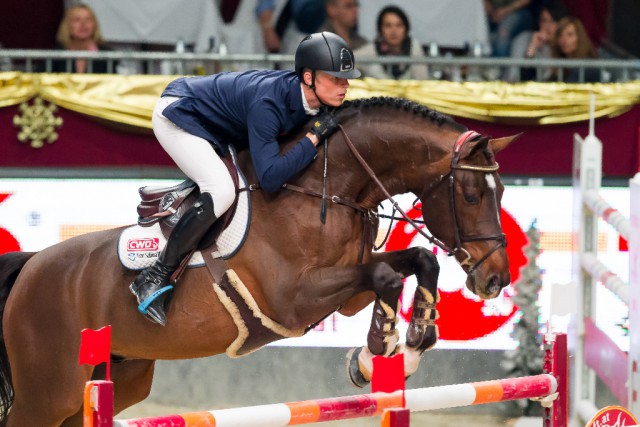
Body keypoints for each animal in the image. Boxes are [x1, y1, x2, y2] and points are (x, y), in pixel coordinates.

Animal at [0, 97, 516, 427]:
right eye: (472, 195)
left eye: (503, 193)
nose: (495, 280)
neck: (323, 186)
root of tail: (30, 267)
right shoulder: (295, 299)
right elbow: (387, 274)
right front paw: (375, 355)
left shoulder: (347, 293)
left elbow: (417, 261)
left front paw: (411, 343)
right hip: (50, 393)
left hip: (118, 377)